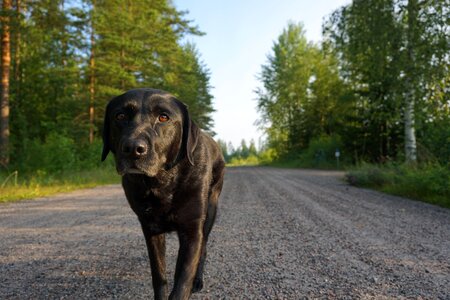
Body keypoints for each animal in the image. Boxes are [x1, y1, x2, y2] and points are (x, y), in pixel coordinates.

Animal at [100, 88, 223, 298]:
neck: (161, 183)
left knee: (204, 248)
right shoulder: (150, 229)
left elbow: (182, 282)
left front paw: (187, 285)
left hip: (211, 210)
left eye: (163, 117)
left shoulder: (192, 231)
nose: (133, 149)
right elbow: (159, 275)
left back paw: (198, 281)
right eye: (120, 116)